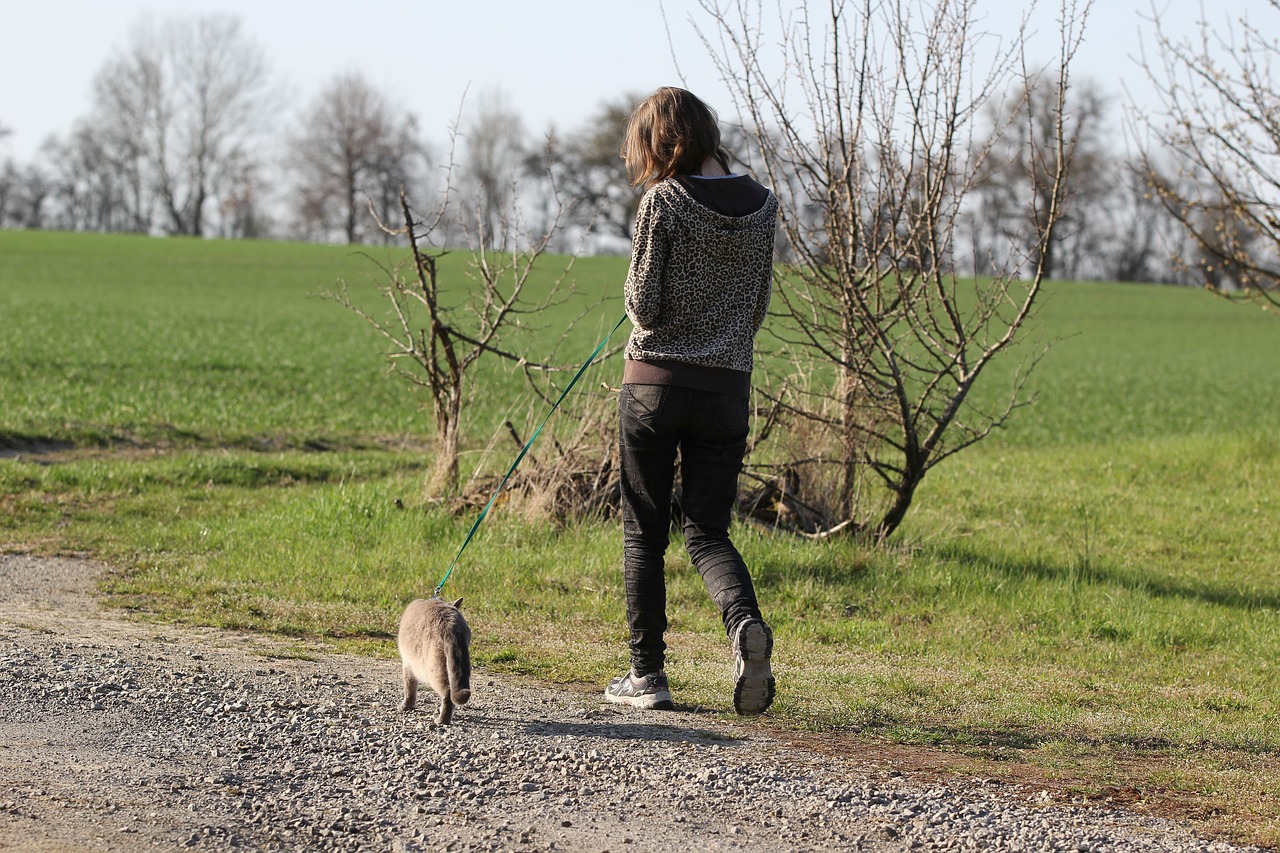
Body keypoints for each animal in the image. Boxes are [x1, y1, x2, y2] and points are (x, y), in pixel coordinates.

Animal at [396, 594, 473, 722]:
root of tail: (452, 626)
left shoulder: (407, 663)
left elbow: (409, 689)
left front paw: (405, 707)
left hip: (433, 668)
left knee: (447, 692)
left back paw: (442, 720)